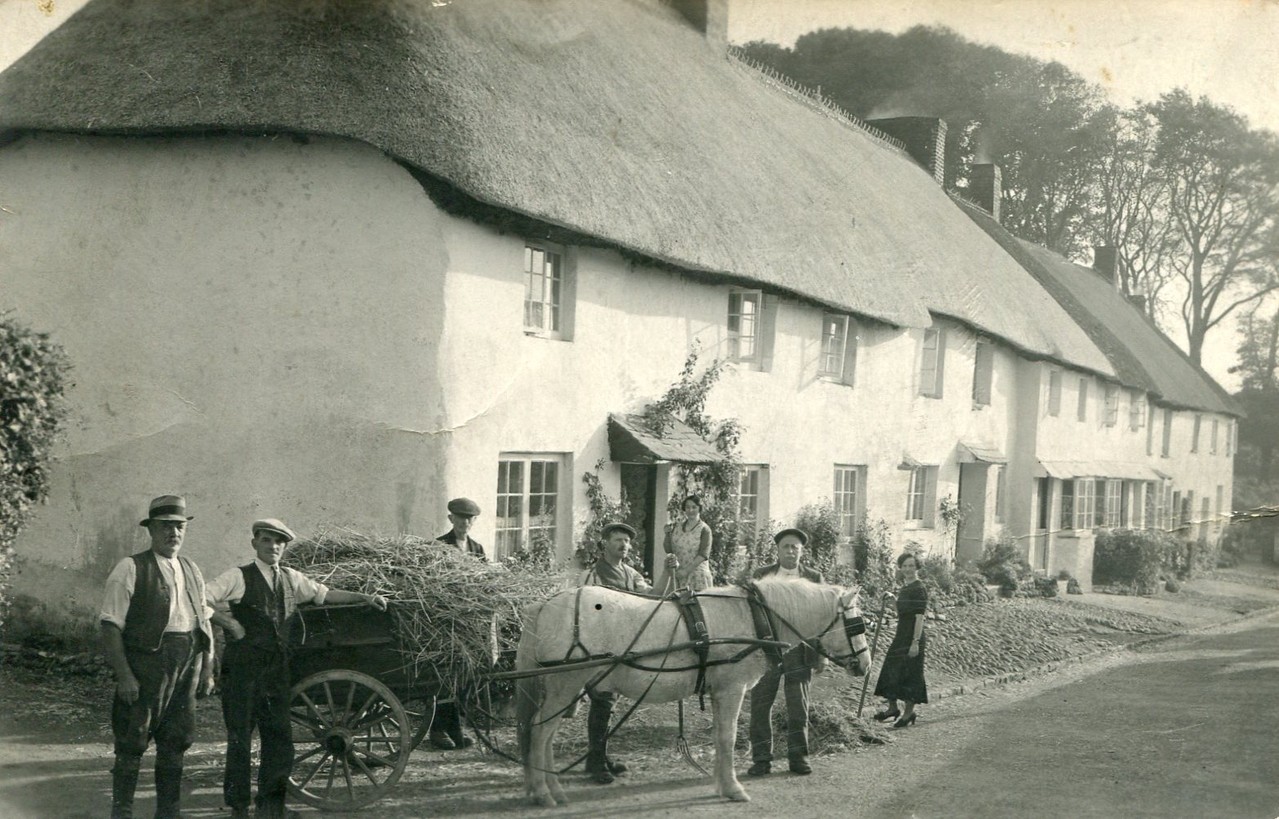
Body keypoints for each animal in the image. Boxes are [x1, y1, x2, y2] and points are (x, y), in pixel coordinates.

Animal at [511, 578, 869, 803]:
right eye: (857, 624)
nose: (865, 664)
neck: (752, 616)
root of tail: (545, 604)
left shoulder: (719, 691)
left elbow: (720, 738)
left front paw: (721, 784)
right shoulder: (732, 689)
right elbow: (728, 737)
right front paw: (733, 788)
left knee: (544, 736)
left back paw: (551, 789)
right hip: (565, 685)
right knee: (540, 732)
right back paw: (543, 792)